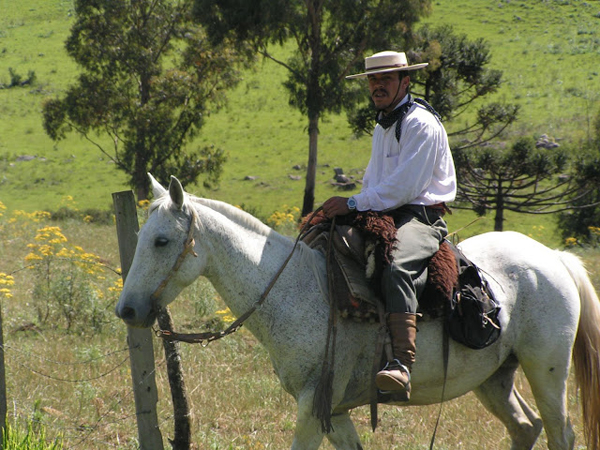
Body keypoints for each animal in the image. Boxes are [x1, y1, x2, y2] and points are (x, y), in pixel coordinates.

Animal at [116, 176, 600, 450]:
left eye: (161, 240)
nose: (128, 309)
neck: (298, 288)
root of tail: (554, 258)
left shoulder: (313, 407)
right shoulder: (335, 411)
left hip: (546, 371)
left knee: (560, 433)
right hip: (495, 377)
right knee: (525, 428)